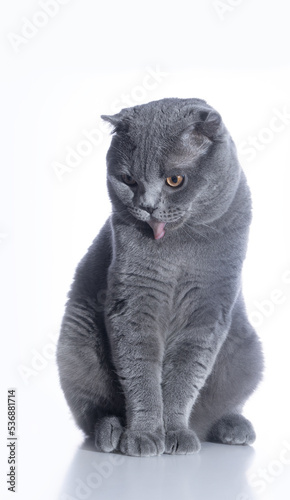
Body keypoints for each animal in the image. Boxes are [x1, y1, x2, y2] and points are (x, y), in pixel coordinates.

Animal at [56, 96, 262, 458]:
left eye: (175, 180)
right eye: (128, 180)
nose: (147, 206)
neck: (179, 251)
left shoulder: (207, 308)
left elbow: (184, 375)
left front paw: (175, 433)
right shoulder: (134, 299)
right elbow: (140, 371)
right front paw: (144, 436)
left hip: (249, 353)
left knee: (216, 411)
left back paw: (232, 427)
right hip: (74, 345)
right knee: (93, 411)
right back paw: (110, 433)